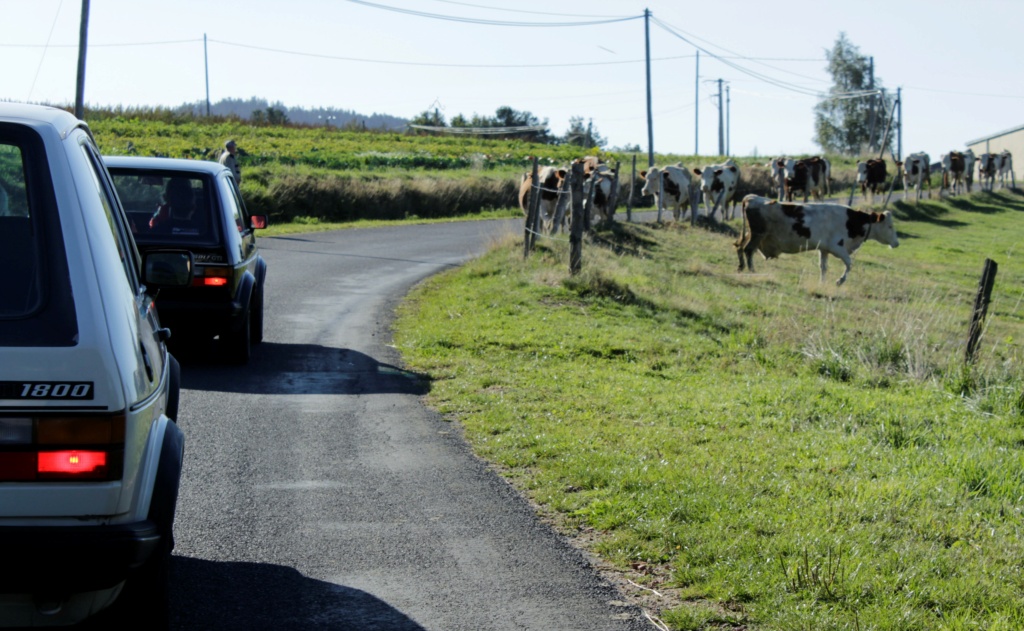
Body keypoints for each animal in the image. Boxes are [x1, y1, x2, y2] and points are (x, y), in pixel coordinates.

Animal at [737, 194, 897, 286]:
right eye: (890, 226)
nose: (897, 243)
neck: (851, 221)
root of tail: (752, 198)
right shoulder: (838, 248)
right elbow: (849, 264)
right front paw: (840, 281)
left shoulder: (824, 249)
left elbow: (823, 267)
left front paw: (823, 283)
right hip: (757, 235)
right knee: (748, 250)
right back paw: (752, 271)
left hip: (751, 234)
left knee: (739, 247)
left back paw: (741, 267)